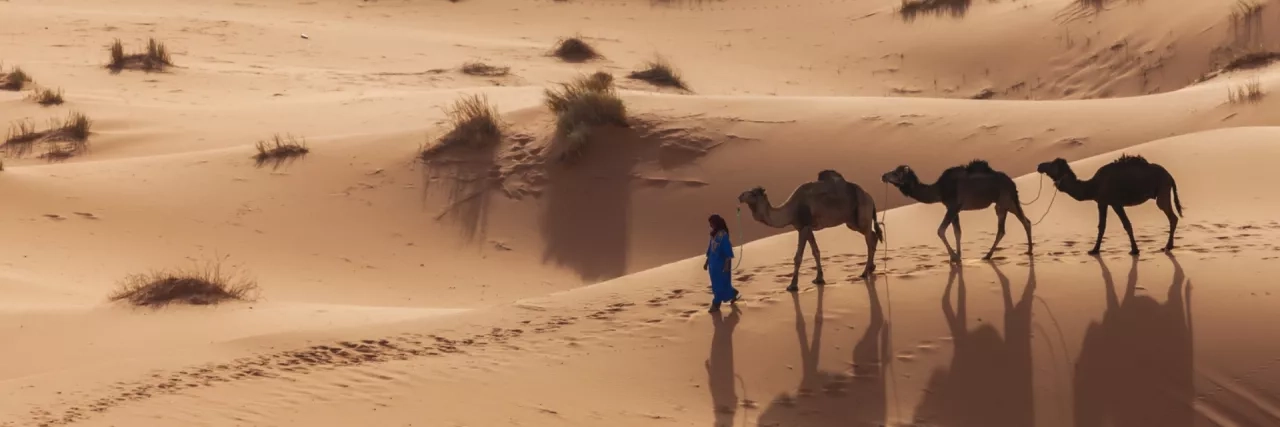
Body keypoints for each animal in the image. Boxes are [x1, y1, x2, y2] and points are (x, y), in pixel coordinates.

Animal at [742, 168, 880, 291]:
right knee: (873, 235)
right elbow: (816, 251)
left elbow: (798, 257)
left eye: (753, 193)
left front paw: (792, 285)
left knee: (869, 241)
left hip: (863, 215)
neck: (791, 210)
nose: (740, 196)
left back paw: (864, 272)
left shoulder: (804, 226)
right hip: (852, 222)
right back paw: (871, 268)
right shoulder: (805, 228)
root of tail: (869, 197)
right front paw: (819, 278)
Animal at [885, 159, 1034, 262]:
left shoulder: (953, 206)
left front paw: (954, 257)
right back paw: (1029, 251)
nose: (883, 176)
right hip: (1009, 202)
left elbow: (941, 230)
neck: (939, 190)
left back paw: (987, 255)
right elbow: (957, 232)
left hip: (1003, 201)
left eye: (896, 173)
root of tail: (1012, 183)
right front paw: (958, 256)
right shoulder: (954, 209)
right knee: (1025, 221)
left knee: (1003, 229)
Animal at [1034, 154, 1182, 253]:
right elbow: (1102, 226)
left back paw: (1167, 246)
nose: (1039, 165)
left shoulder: (1113, 202)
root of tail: (1170, 176)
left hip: (1162, 190)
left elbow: (1124, 225)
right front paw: (1095, 249)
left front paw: (1134, 250)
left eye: (1052, 164)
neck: (1093, 186)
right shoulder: (1103, 202)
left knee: (1172, 216)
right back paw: (1169, 246)